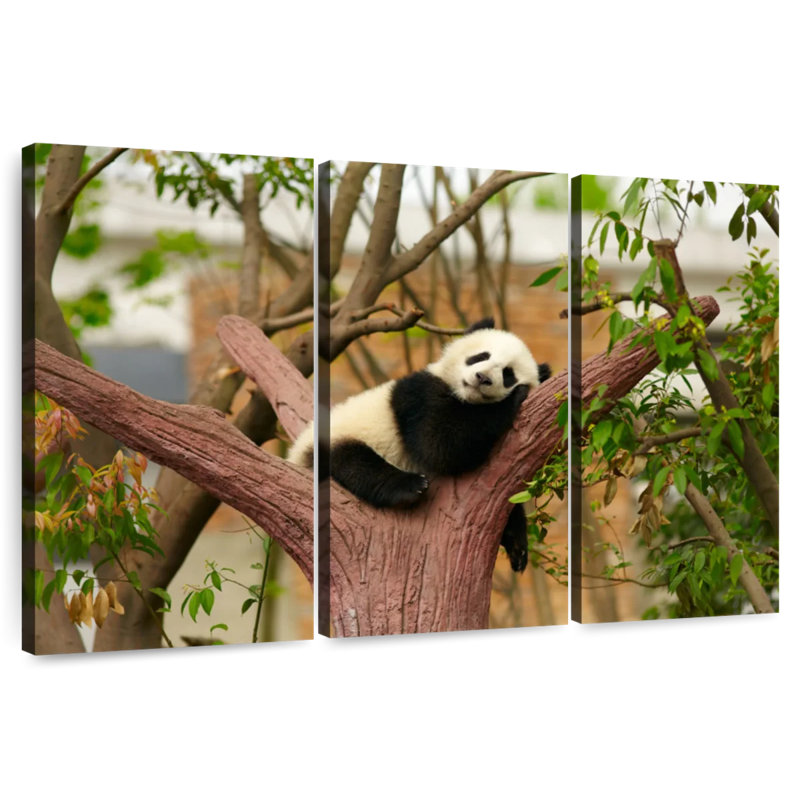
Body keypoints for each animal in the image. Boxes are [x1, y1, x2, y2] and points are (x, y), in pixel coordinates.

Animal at [288, 318, 550, 572]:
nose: (482, 377)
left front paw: (517, 545)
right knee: (354, 462)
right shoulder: (419, 395)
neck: (465, 397)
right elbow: (440, 445)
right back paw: (409, 486)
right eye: (481, 356)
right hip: (336, 438)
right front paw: (515, 398)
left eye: (508, 373)